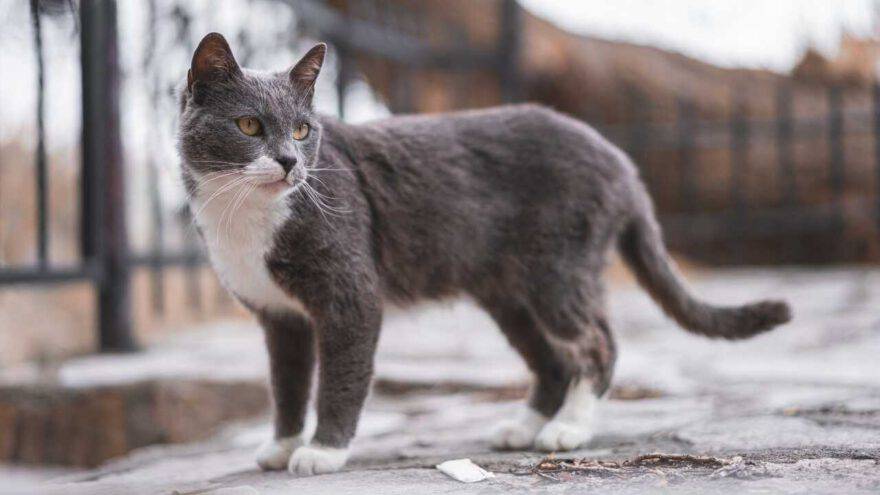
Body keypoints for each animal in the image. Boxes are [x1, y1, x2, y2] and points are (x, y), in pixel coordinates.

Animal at [177, 33, 792, 474]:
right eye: (249, 125)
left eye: (304, 131)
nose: (289, 162)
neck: (244, 219)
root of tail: (621, 160)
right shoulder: (279, 316)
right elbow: (285, 384)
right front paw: (282, 446)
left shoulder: (350, 298)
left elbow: (340, 378)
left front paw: (323, 452)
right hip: (508, 293)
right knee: (551, 360)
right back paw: (524, 428)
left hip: (558, 270)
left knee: (595, 343)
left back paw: (569, 428)